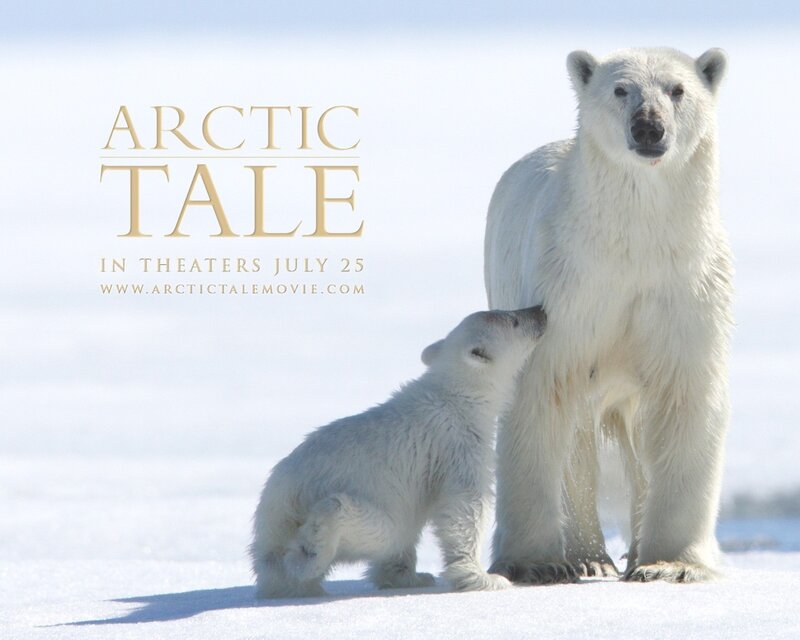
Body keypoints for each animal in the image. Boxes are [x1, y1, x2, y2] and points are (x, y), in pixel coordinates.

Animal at [250, 305, 548, 598]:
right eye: (514, 319)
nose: (540, 310)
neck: (455, 395)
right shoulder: (458, 443)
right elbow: (465, 505)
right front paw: (484, 577)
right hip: (359, 502)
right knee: (372, 526)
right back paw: (309, 553)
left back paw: (408, 576)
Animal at [483, 48, 733, 584]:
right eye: (621, 89)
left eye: (678, 89)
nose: (648, 127)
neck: (632, 243)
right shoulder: (569, 287)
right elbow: (543, 390)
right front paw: (534, 563)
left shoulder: (688, 289)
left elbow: (684, 400)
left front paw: (671, 564)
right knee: (577, 441)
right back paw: (588, 555)